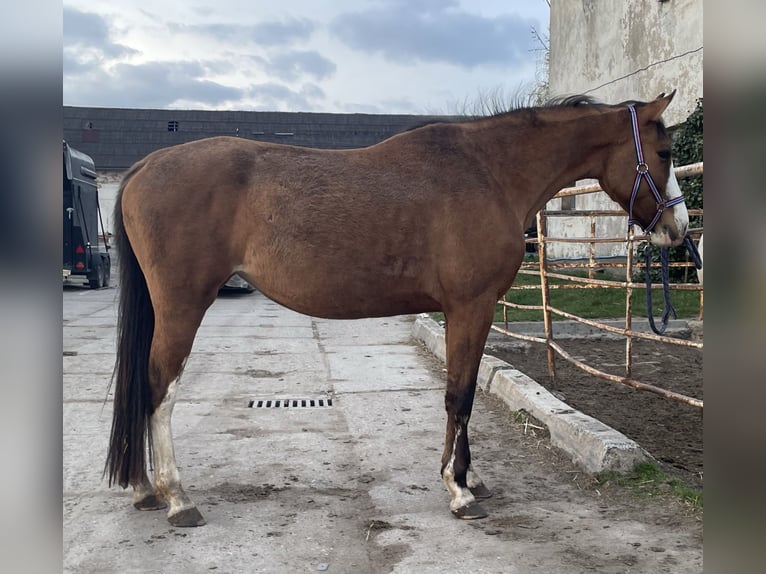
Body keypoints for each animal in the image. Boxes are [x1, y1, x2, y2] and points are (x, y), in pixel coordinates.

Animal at [106, 91, 689, 527]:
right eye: (663, 154)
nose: (677, 230)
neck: (489, 171)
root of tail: (144, 167)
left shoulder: (468, 311)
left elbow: (464, 393)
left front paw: (471, 478)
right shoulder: (470, 307)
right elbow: (459, 396)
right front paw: (459, 490)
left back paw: (145, 489)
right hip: (182, 307)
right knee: (158, 388)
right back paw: (177, 497)